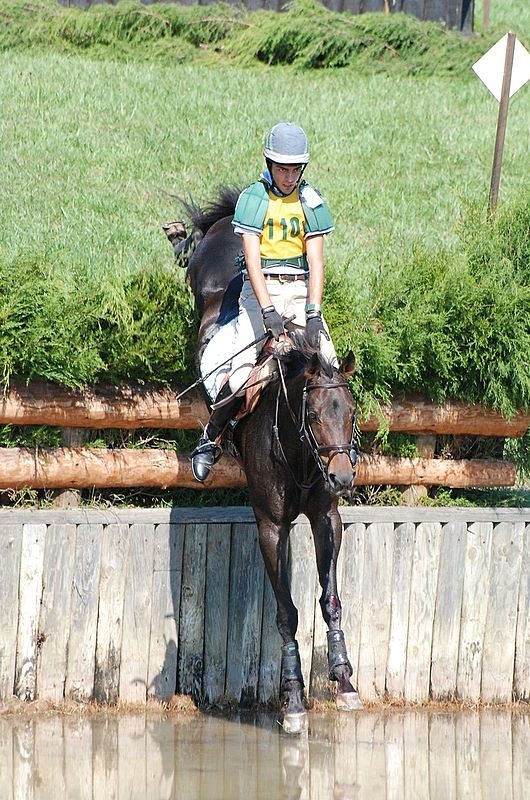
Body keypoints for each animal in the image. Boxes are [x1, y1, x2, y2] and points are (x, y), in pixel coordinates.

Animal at [164, 188, 362, 734]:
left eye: (350, 412)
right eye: (312, 413)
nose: (341, 476)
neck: (302, 456)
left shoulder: (325, 516)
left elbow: (330, 599)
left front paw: (344, 680)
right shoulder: (272, 526)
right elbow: (286, 611)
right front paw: (293, 698)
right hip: (215, 286)